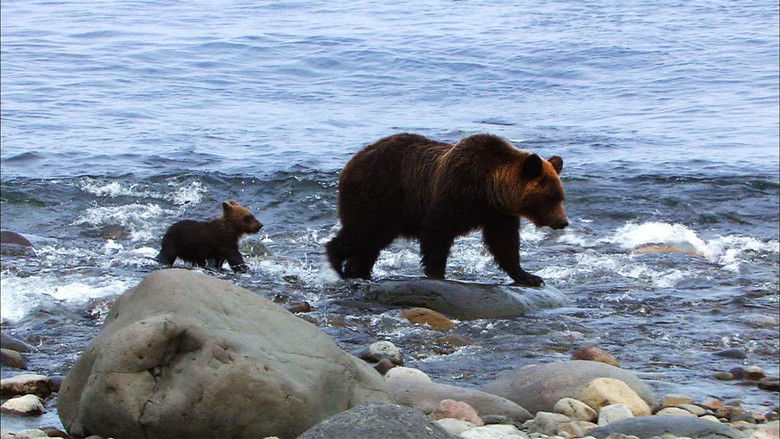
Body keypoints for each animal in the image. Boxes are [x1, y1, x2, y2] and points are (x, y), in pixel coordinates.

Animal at [325, 133, 568, 286]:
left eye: (561, 196)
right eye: (550, 197)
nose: (563, 222)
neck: (487, 188)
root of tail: (351, 162)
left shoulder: (497, 213)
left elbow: (504, 243)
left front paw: (529, 276)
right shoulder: (453, 193)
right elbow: (436, 234)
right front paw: (437, 273)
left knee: (371, 242)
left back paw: (359, 272)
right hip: (378, 195)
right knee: (362, 231)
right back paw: (337, 262)